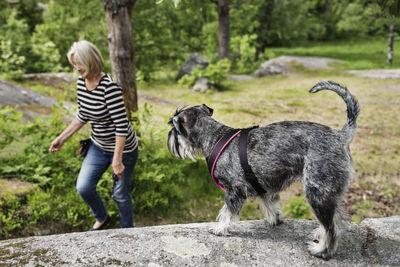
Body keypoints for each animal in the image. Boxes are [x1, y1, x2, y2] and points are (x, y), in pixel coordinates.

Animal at [167, 81, 360, 260]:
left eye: (174, 127)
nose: (169, 138)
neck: (215, 137)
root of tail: (340, 136)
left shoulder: (235, 189)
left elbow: (227, 211)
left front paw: (220, 229)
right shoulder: (263, 186)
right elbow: (270, 205)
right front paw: (276, 219)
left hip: (317, 192)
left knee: (332, 228)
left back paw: (322, 250)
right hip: (327, 193)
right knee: (337, 218)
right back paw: (319, 235)